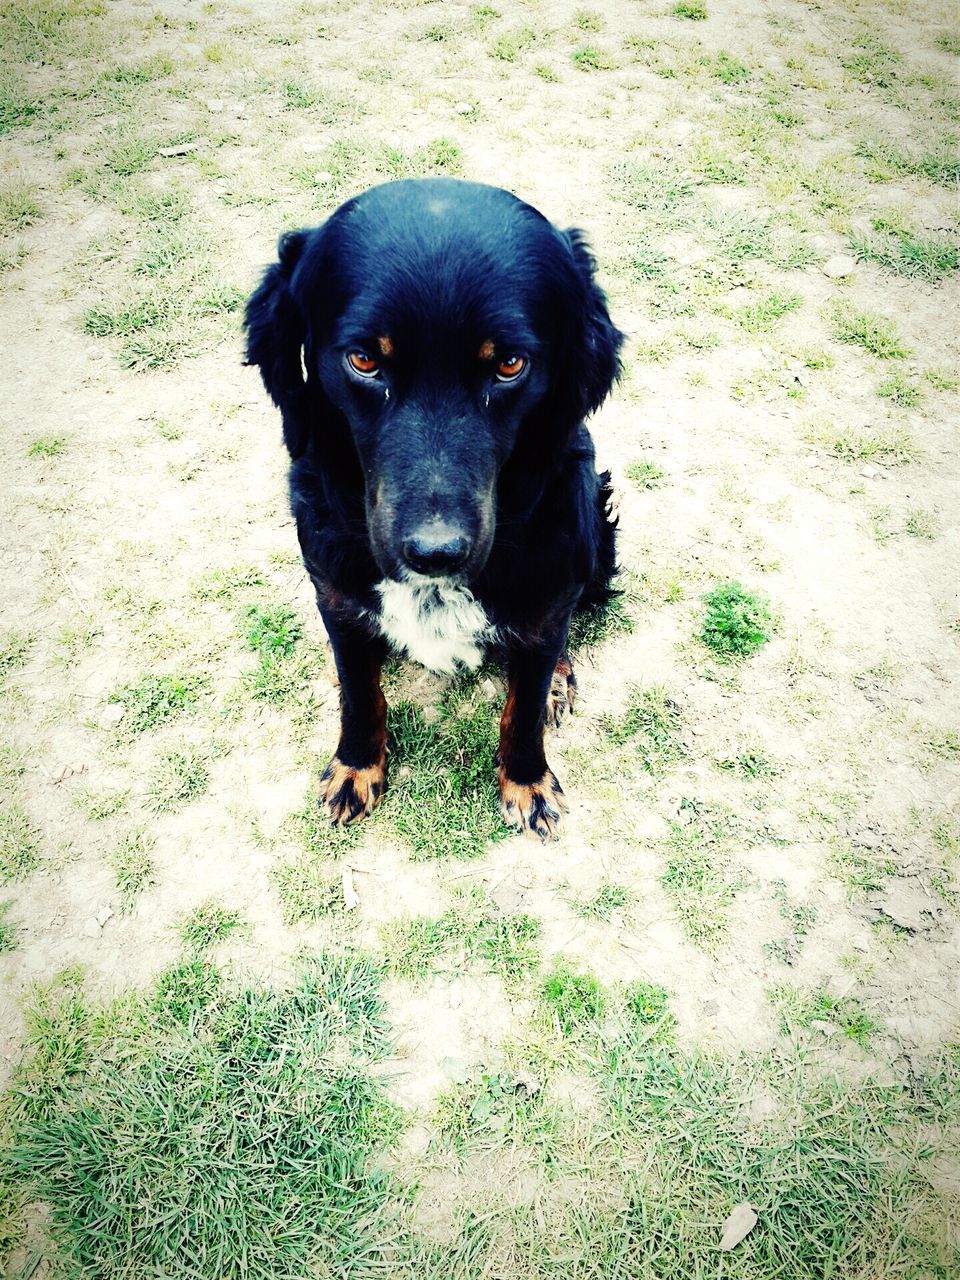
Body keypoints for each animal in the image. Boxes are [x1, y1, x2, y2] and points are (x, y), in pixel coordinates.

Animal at [245, 177, 624, 839]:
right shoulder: (336, 593)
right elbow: (359, 694)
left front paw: (527, 781)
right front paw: (356, 766)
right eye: (364, 360)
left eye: (510, 365)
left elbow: (523, 708)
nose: (435, 554)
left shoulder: (547, 596)